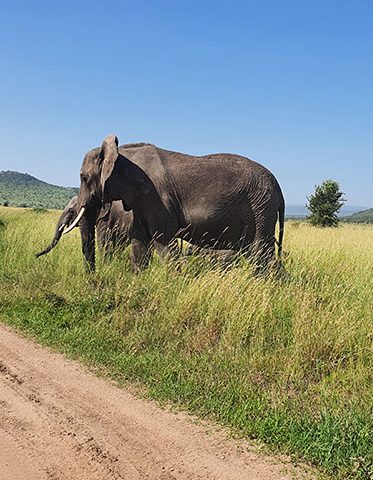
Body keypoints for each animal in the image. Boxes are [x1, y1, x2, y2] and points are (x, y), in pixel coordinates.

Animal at [66, 135, 282, 272]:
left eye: (83, 177)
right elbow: (140, 243)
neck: (121, 153)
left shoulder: (157, 198)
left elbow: (163, 240)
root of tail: (278, 188)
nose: (93, 277)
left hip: (261, 208)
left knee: (261, 254)